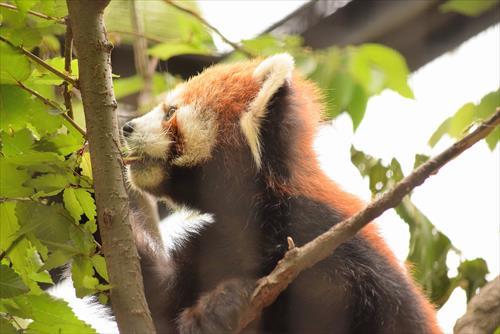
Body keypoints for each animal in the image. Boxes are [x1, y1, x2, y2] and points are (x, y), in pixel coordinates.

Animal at [122, 53, 442, 332]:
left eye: (170, 112)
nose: (126, 127)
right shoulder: (212, 243)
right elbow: (160, 296)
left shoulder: (324, 233)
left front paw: (218, 305)